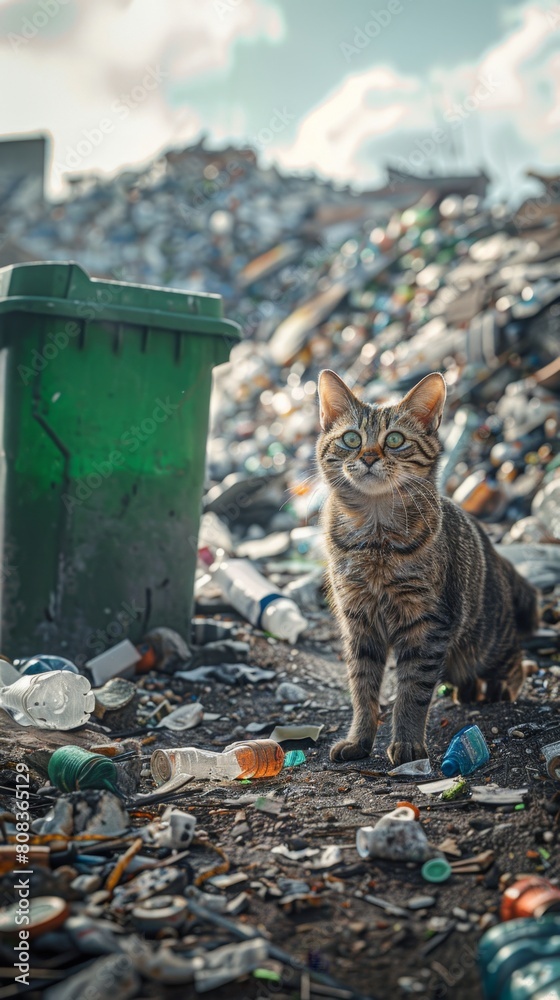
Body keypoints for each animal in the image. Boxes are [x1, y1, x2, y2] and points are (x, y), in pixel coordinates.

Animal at [316, 370, 540, 764]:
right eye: (351, 438)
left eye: (394, 439)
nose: (369, 457)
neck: (376, 537)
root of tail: (497, 553)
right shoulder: (358, 622)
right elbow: (362, 688)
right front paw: (359, 739)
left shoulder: (426, 623)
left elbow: (412, 692)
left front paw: (408, 743)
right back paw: (467, 692)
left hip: (487, 643)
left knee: (517, 660)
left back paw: (500, 688)